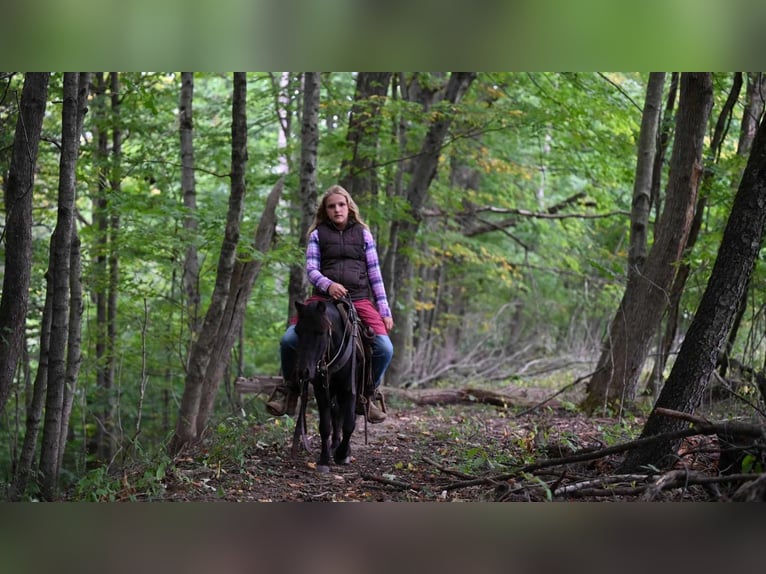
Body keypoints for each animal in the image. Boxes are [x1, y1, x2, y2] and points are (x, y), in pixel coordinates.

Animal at [292, 300, 368, 474]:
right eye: (298, 331)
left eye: (320, 332)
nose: (303, 372)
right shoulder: (321, 390)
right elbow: (325, 426)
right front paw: (324, 459)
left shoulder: (350, 390)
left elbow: (349, 424)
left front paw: (342, 454)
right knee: (336, 414)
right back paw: (334, 445)